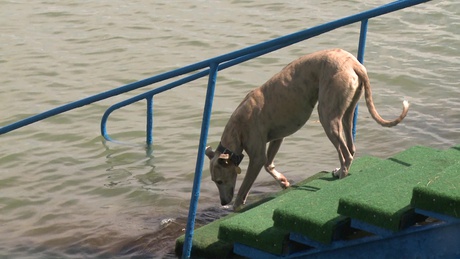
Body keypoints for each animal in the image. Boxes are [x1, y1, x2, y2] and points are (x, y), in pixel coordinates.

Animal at [205, 48, 410, 210]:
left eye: (219, 181)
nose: (223, 202)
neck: (237, 125)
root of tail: (353, 63)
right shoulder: (277, 138)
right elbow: (269, 164)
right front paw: (283, 181)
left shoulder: (256, 155)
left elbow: (247, 182)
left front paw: (237, 204)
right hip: (346, 113)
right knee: (350, 147)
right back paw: (339, 170)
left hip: (327, 116)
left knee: (345, 152)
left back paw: (342, 173)